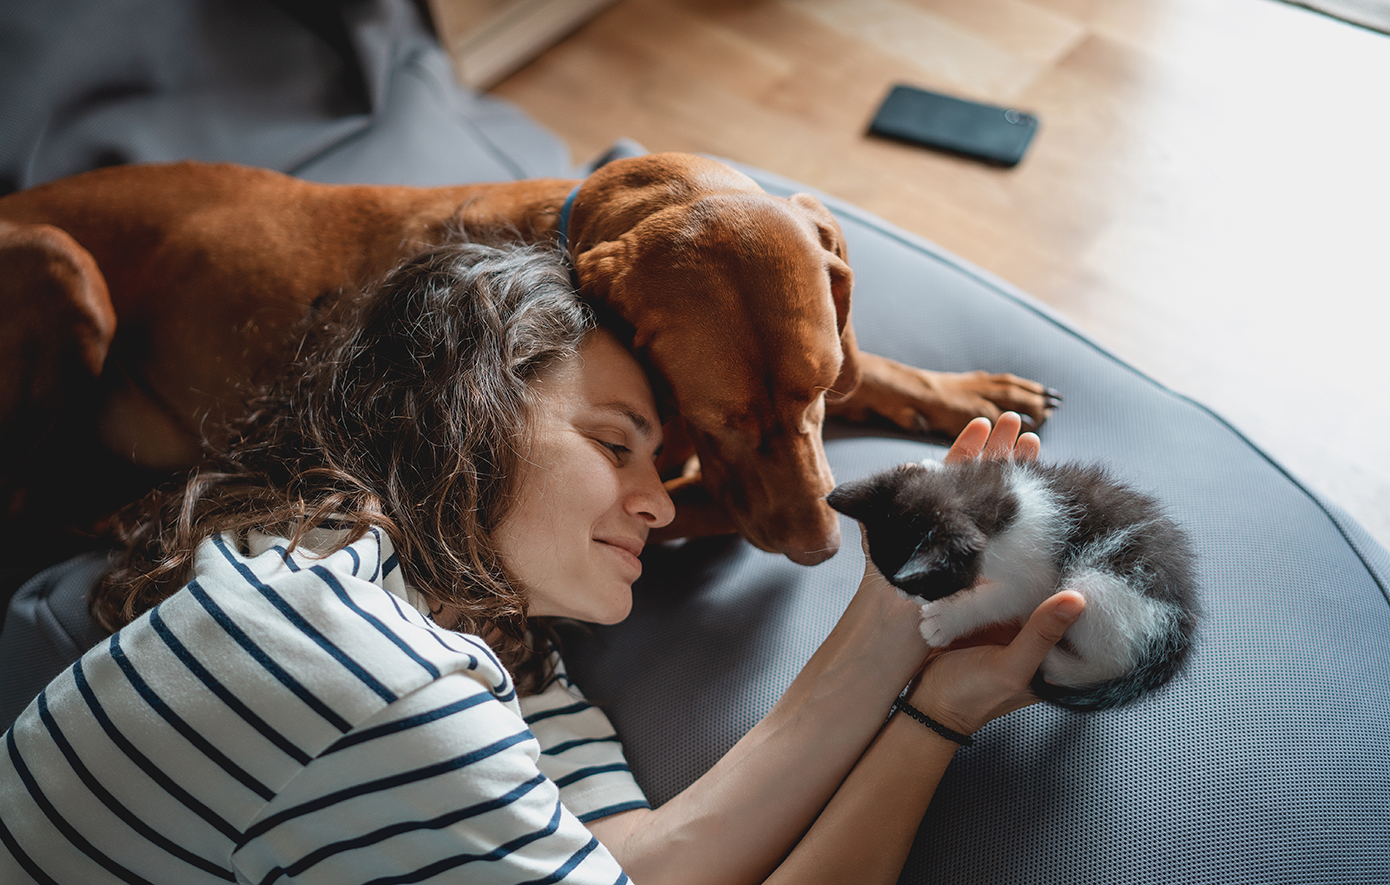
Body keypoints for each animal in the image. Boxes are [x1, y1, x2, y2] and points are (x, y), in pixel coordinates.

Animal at [0, 152, 1045, 566]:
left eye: (820, 392)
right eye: (721, 419)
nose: (823, 548)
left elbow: (879, 366)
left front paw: (965, 387)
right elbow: (692, 506)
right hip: (64, 266)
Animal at [822, 455, 1195, 711]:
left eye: (922, 586)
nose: (903, 595)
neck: (991, 503)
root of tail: (1180, 631)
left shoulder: (1037, 577)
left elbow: (1005, 599)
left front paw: (944, 620)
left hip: (1098, 583)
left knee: (1110, 661)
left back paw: (1056, 661)